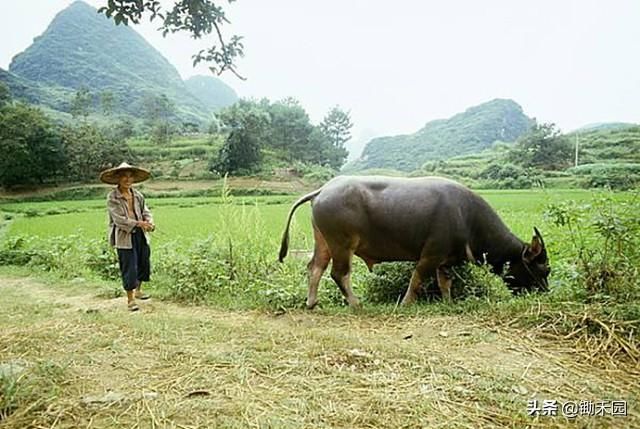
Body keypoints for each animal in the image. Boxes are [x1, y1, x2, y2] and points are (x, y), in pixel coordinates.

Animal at [278, 175, 552, 308]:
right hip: (343, 244)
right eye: (544, 268)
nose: (545, 292)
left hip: (324, 241)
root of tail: (323, 190)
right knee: (339, 273)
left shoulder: (445, 260)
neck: (467, 217)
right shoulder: (430, 255)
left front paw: (448, 302)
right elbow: (418, 279)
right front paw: (407, 302)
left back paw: (312, 302)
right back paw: (355, 304)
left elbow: (444, 282)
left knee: (315, 267)